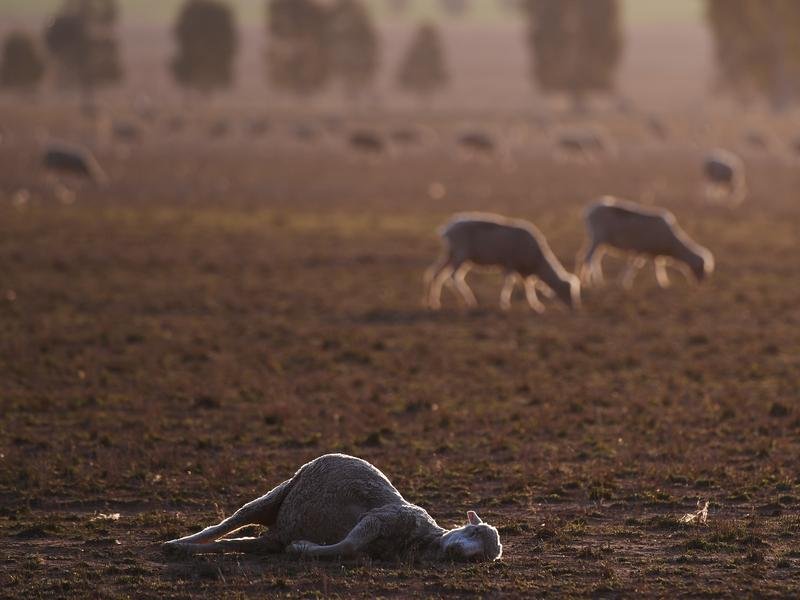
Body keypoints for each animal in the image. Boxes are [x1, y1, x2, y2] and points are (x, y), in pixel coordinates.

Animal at [163, 453, 502, 563]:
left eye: (482, 558)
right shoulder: (380, 517)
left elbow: (350, 549)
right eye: (473, 531)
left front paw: (301, 547)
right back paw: (176, 543)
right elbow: (349, 545)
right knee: (226, 524)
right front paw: (303, 548)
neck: (420, 539)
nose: (457, 551)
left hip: (270, 537)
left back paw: (184, 550)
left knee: (237, 542)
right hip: (278, 493)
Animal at [424, 213, 581, 312]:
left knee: (436, 273)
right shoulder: (510, 263)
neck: (538, 261)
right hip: (460, 254)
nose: (575, 308)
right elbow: (510, 283)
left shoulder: (523, 271)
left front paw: (535, 306)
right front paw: (505, 304)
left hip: (451, 255)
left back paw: (434, 303)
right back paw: (470, 301)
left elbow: (528, 286)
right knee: (453, 276)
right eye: (567, 291)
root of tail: (448, 228)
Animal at [577, 196, 714, 290]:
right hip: (597, 238)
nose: (699, 285)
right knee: (587, 258)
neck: (673, 245)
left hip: (601, 242)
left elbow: (655, 266)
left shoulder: (650, 252)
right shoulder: (641, 250)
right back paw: (585, 282)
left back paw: (597, 281)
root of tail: (589, 211)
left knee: (594, 258)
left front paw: (663, 283)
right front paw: (626, 283)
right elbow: (637, 266)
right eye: (702, 270)